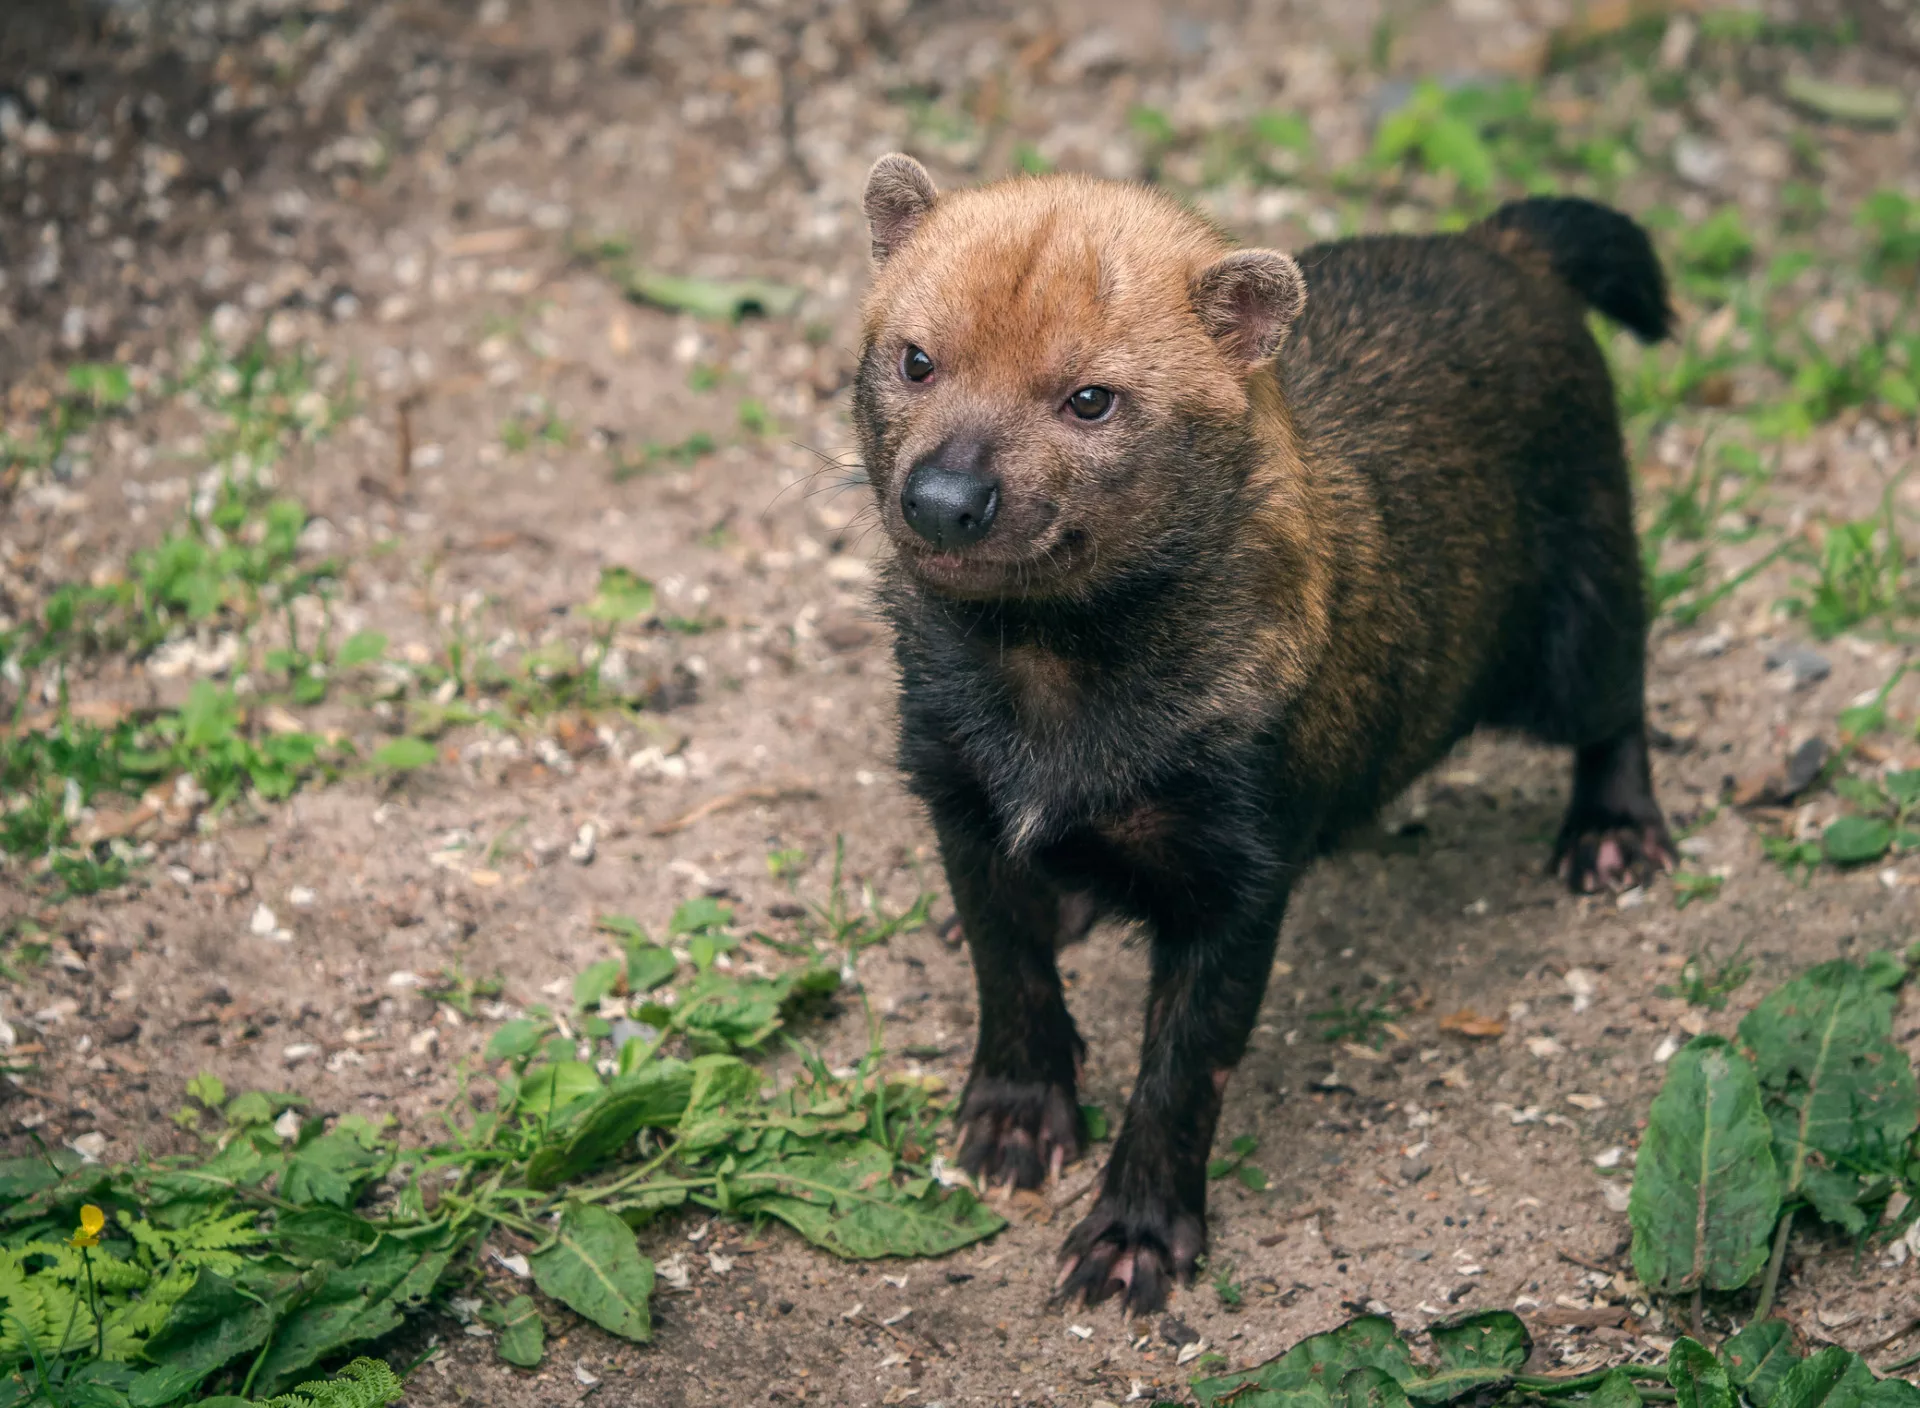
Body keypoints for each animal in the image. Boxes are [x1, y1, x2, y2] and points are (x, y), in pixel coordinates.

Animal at [852, 159, 1666, 1313]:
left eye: (1091, 397)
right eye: (916, 358)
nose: (945, 497)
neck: (1051, 708)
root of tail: (1504, 242)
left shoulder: (1237, 869)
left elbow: (1185, 1071)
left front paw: (1133, 1240)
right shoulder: (956, 794)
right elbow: (1008, 971)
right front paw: (1011, 1123)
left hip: (1578, 604)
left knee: (1622, 691)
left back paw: (1612, 837)